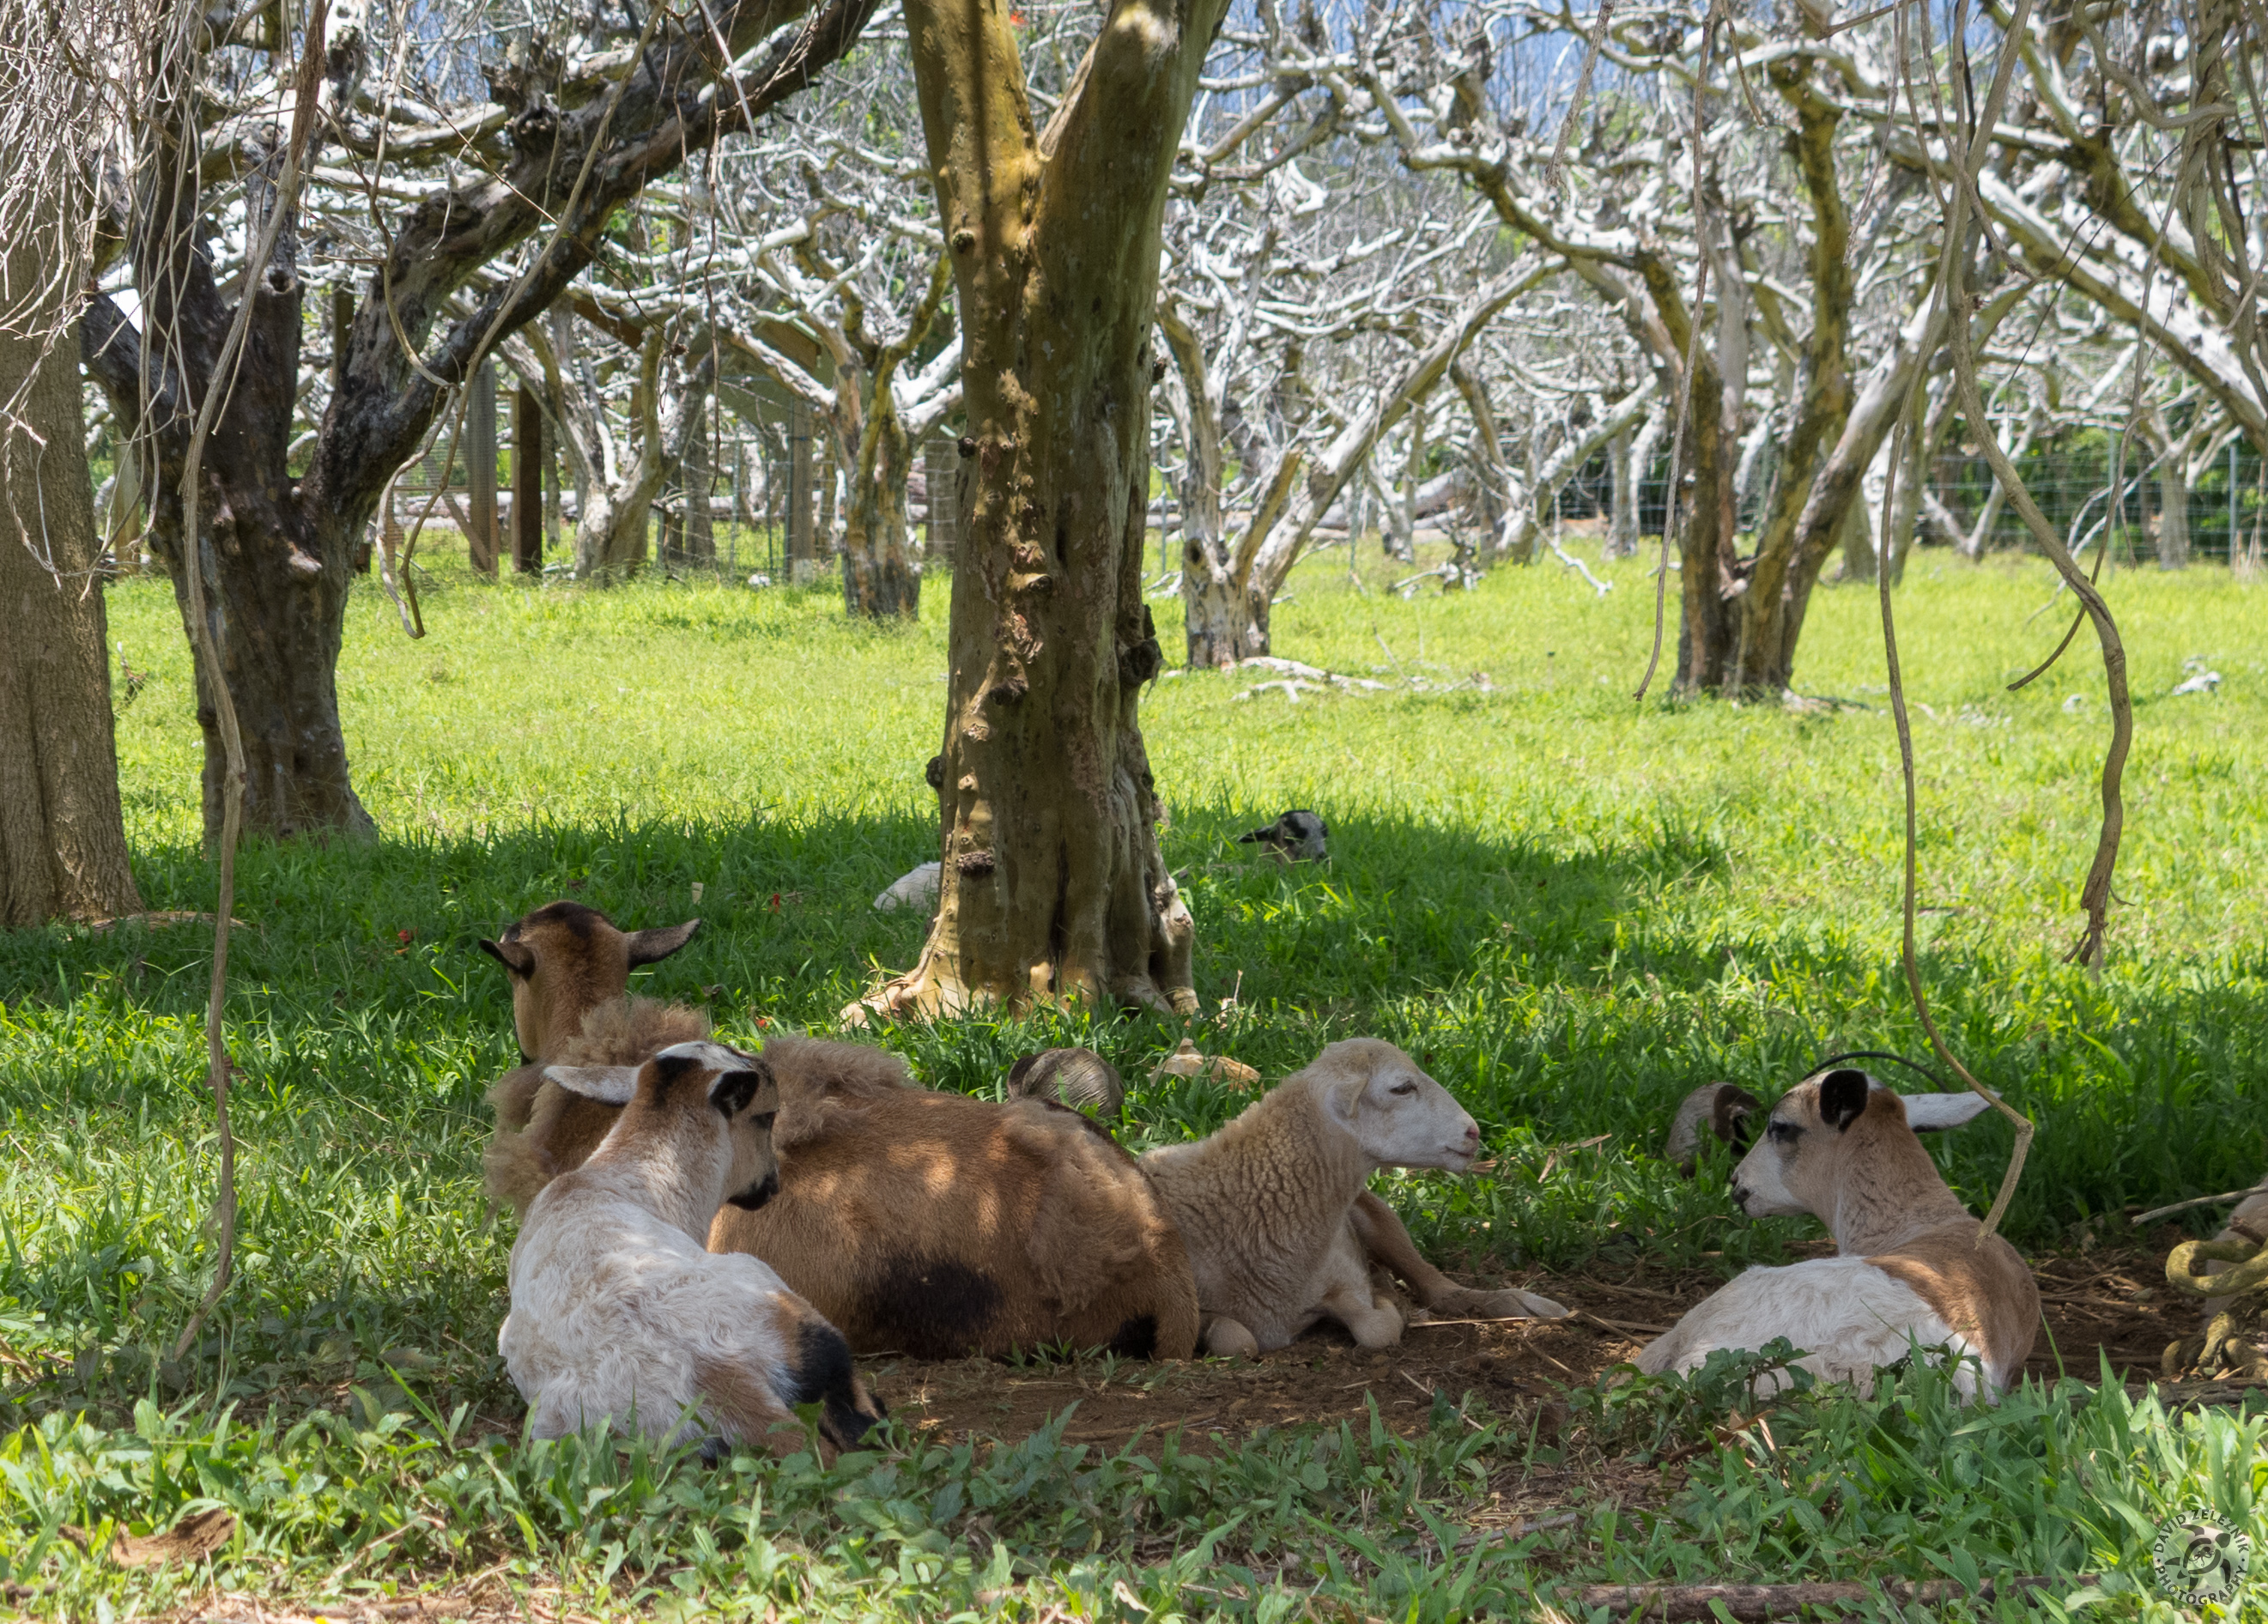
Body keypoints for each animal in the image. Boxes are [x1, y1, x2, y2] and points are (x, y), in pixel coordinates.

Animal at [503, 1047, 884, 1451]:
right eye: (767, 1116)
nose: (773, 1185)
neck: (627, 1175)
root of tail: (716, 1378)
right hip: (774, 1293)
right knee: (863, 1426)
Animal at [1143, 1039, 1569, 1360]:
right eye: (1401, 1088)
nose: (1473, 1133)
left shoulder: (1348, 1285)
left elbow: (1375, 1328)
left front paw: (1387, 1300)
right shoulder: (1186, 1308)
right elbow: (1236, 1340)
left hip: (1377, 1215)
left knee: (1437, 1286)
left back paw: (1521, 1304)